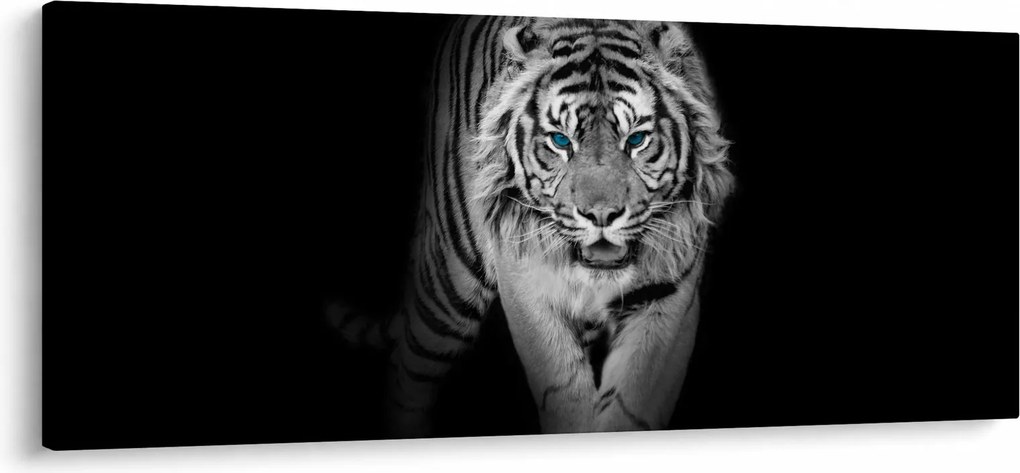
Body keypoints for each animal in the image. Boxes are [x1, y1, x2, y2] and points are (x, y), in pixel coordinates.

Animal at [328, 15, 733, 437]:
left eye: (636, 139)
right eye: (560, 141)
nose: (601, 216)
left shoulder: (670, 294)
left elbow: (632, 403)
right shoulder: (525, 281)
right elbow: (563, 389)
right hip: (449, 282)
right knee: (408, 369)